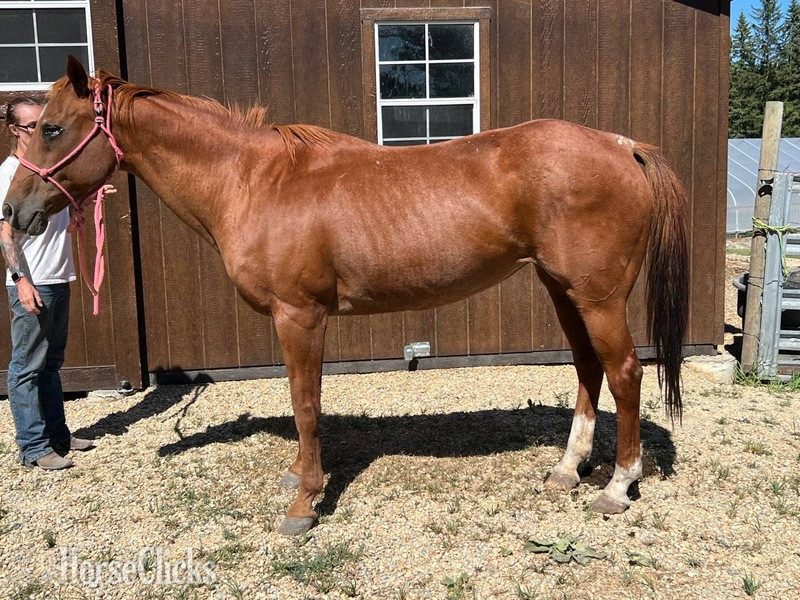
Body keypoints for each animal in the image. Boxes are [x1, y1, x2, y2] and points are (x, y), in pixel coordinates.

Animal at [2, 57, 688, 536]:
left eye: (53, 129)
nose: (13, 212)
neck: (254, 182)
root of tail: (623, 146)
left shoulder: (300, 316)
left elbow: (306, 405)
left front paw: (305, 501)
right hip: (562, 289)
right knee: (588, 370)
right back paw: (566, 470)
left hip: (598, 298)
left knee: (625, 373)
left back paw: (616, 486)